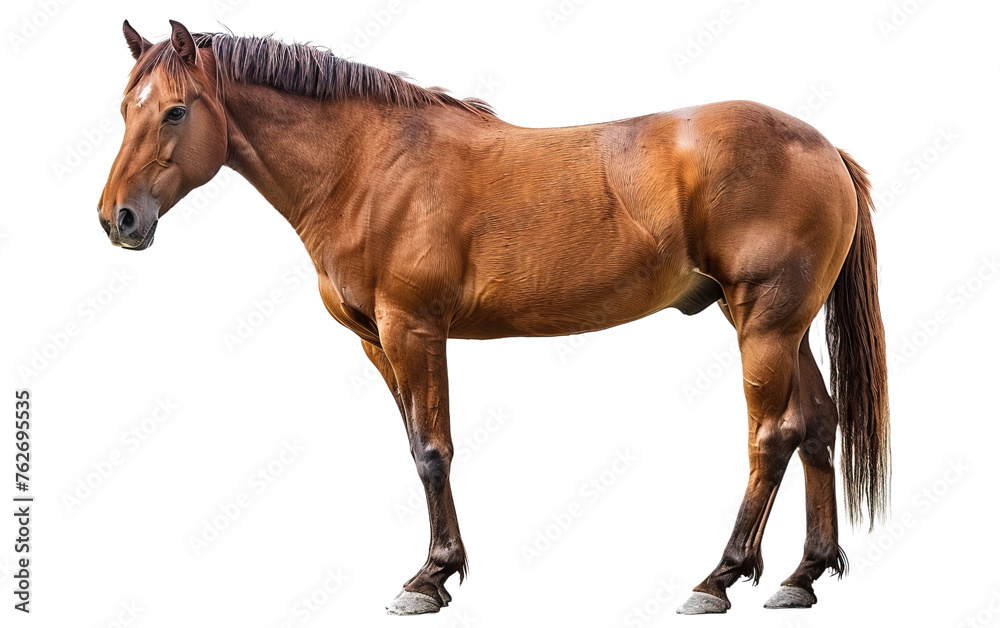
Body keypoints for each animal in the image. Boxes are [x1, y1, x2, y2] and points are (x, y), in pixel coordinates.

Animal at [99, 20, 889, 615]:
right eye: (125, 109)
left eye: (175, 110)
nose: (118, 219)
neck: (367, 166)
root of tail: (824, 147)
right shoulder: (378, 344)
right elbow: (416, 446)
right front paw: (436, 570)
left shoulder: (413, 329)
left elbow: (432, 451)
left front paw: (430, 577)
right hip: (777, 323)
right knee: (817, 424)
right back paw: (802, 576)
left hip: (765, 323)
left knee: (772, 437)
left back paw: (718, 578)